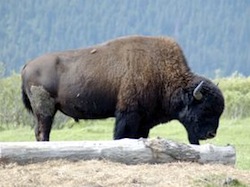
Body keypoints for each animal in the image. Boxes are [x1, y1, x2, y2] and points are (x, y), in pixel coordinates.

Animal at [21, 36, 225, 145]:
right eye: (204, 108)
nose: (211, 134)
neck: (161, 72)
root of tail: (27, 65)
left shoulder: (144, 120)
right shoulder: (128, 114)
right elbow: (122, 135)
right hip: (45, 110)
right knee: (43, 131)